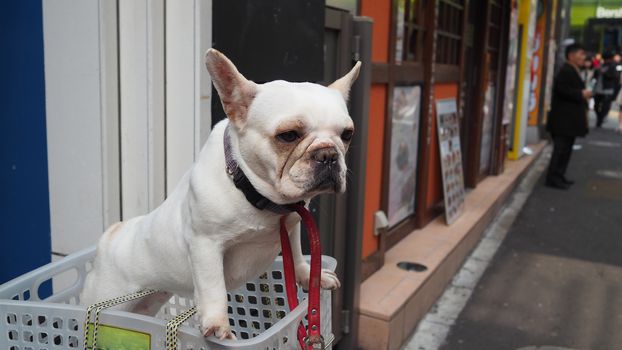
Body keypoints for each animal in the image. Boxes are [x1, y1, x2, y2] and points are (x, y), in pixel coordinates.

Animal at [79, 49, 360, 340]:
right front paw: (217, 324)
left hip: (145, 302)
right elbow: (213, 286)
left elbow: (296, 255)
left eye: (347, 135)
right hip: (106, 296)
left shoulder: (292, 225)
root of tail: (111, 236)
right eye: (288, 135)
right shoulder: (206, 245)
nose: (328, 154)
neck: (258, 195)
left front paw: (308, 276)